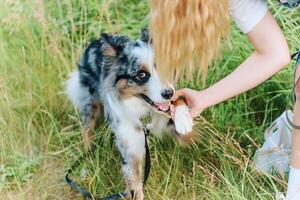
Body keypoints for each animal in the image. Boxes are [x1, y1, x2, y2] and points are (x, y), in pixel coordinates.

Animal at [64, 28, 193, 199]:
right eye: (141, 74)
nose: (168, 93)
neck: (143, 108)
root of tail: (94, 42)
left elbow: (180, 100)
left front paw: (184, 120)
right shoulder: (130, 150)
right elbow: (135, 186)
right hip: (91, 106)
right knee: (86, 130)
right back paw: (88, 158)